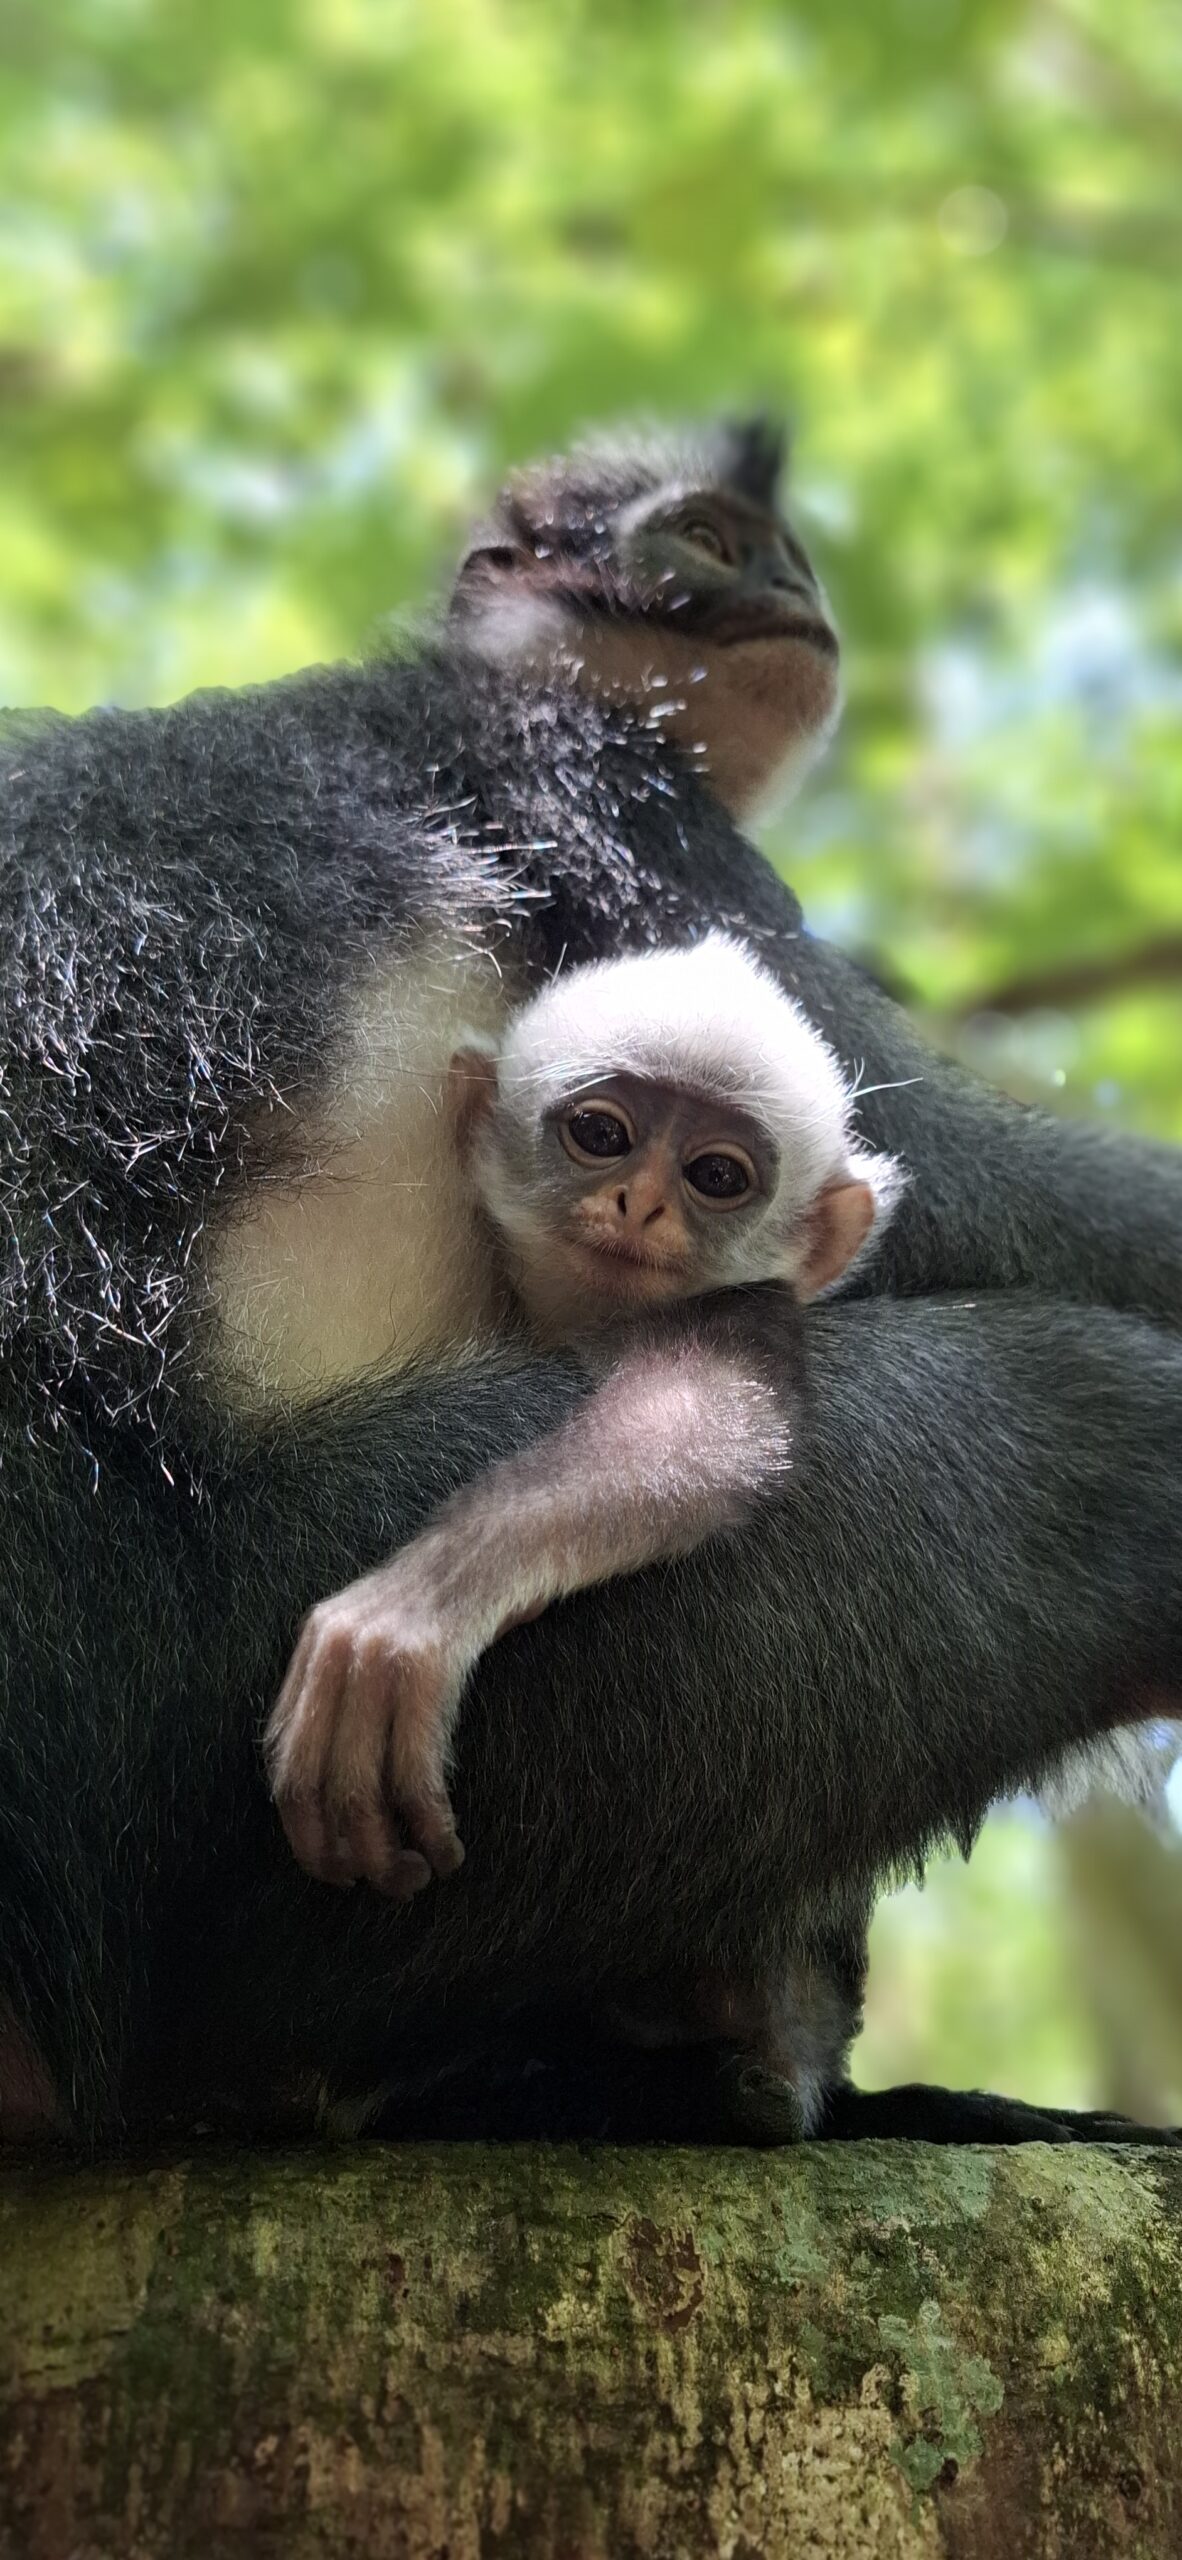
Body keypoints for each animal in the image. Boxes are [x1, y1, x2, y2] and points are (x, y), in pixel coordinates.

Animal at [264, 932, 901, 1897]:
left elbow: (694, 1429)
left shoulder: (743, 1315)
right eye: (602, 1134)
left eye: (717, 1175)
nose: (642, 1202)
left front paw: (423, 1604)